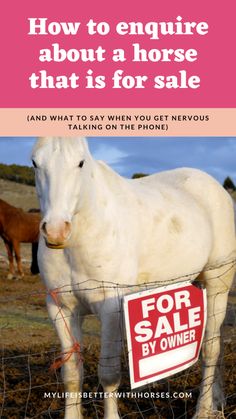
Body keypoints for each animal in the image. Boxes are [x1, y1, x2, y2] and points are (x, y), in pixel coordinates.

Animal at [32, 139, 235, 419]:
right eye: (35, 163)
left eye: (81, 162)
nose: (55, 231)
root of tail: (216, 188)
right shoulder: (61, 308)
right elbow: (72, 373)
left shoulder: (111, 308)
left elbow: (109, 375)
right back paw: (218, 400)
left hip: (217, 286)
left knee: (211, 349)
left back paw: (203, 410)